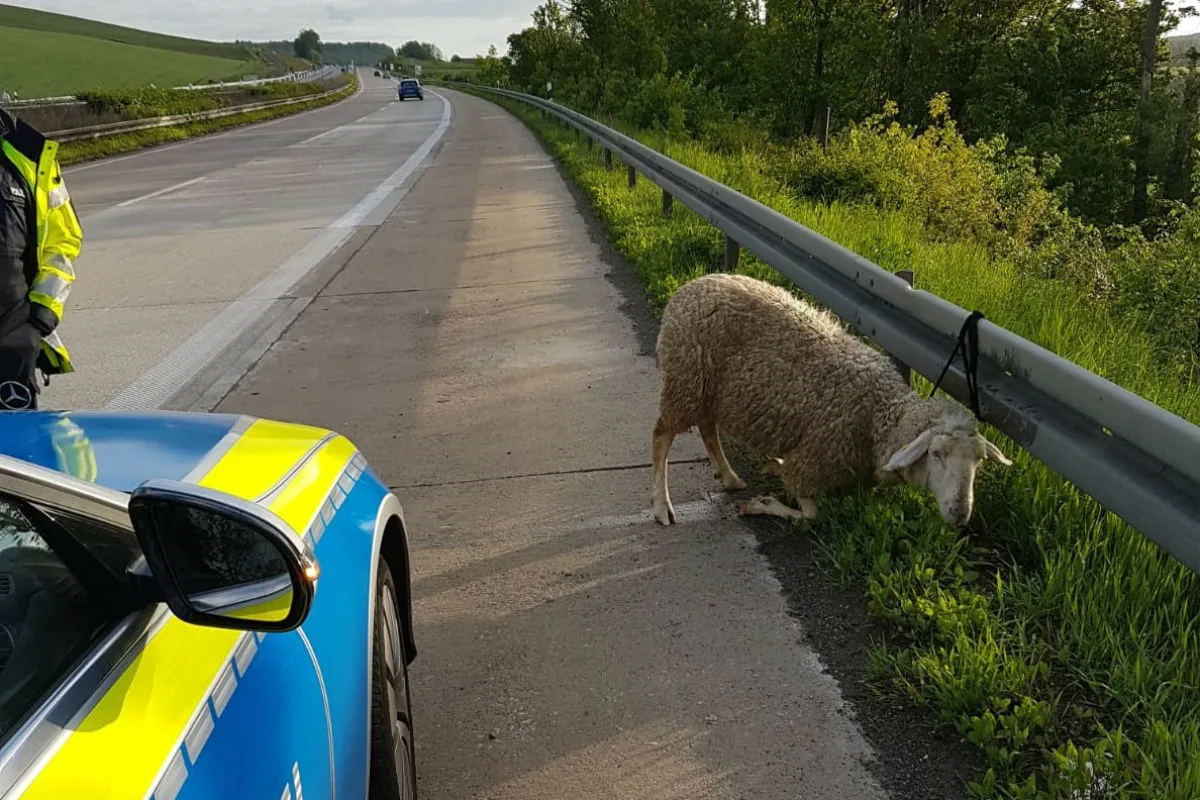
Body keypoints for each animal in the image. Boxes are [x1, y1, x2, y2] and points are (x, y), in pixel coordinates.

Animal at [650, 272, 1012, 527]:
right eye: (936, 454)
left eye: (979, 461)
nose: (960, 514)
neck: (879, 416)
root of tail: (690, 287)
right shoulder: (811, 464)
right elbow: (812, 514)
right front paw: (761, 503)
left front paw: (770, 469)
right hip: (687, 377)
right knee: (662, 435)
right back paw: (662, 507)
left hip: (707, 387)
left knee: (707, 427)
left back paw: (728, 476)